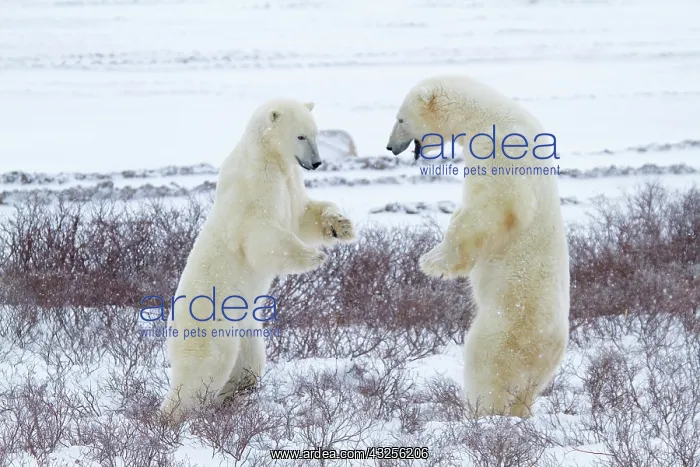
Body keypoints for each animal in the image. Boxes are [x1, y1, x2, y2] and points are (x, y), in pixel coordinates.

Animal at [160, 98, 356, 421]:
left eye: (316, 134)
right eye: (300, 136)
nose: (316, 163)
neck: (269, 156)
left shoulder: (290, 182)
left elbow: (304, 215)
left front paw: (342, 226)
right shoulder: (254, 188)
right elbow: (262, 238)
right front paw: (314, 256)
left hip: (247, 330)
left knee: (248, 365)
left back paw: (233, 394)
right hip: (212, 327)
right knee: (205, 369)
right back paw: (178, 413)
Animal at [386, 75, 570, 418]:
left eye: (400, 118)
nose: (390, 147)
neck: (486, 115)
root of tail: (549, 348)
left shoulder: (503, 148)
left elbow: (499, 205)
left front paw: (433, 261)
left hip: (506, 326)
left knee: (486, 364)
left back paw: (480, 412)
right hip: (539, 365)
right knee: (525, 392)